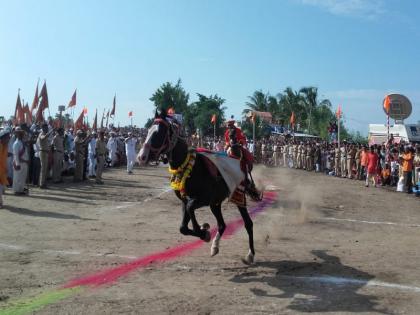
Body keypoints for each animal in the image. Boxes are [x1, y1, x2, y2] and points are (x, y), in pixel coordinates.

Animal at [138, 111, 256, 264]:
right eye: (148, 131)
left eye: (159, 133)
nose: (141, 156)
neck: (190, 167)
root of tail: (239, 159)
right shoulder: (185, 199)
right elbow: (183, 227)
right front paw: (203, 230)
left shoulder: (202, 199)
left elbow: (190, 211)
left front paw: (203, 231)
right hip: (215, 203)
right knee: (222, 224)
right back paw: (215, 247)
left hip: (238, 197)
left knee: (248, 223)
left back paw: (250, 254)